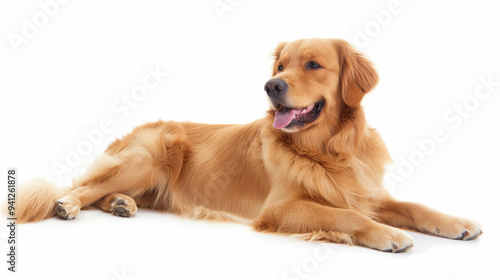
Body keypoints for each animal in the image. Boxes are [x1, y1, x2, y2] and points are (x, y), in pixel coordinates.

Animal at [17, 38, 482, 253]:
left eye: (313, 64)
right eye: (281, 65)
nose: (271, 85)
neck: (328, 150)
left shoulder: (364, 190)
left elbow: (415, 207)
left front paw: (457, 222)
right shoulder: (280, 207)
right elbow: (345, 216)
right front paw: (387, 233)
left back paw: (121, 204)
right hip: (149, 156)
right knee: (80, 188)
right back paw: (69, 205)